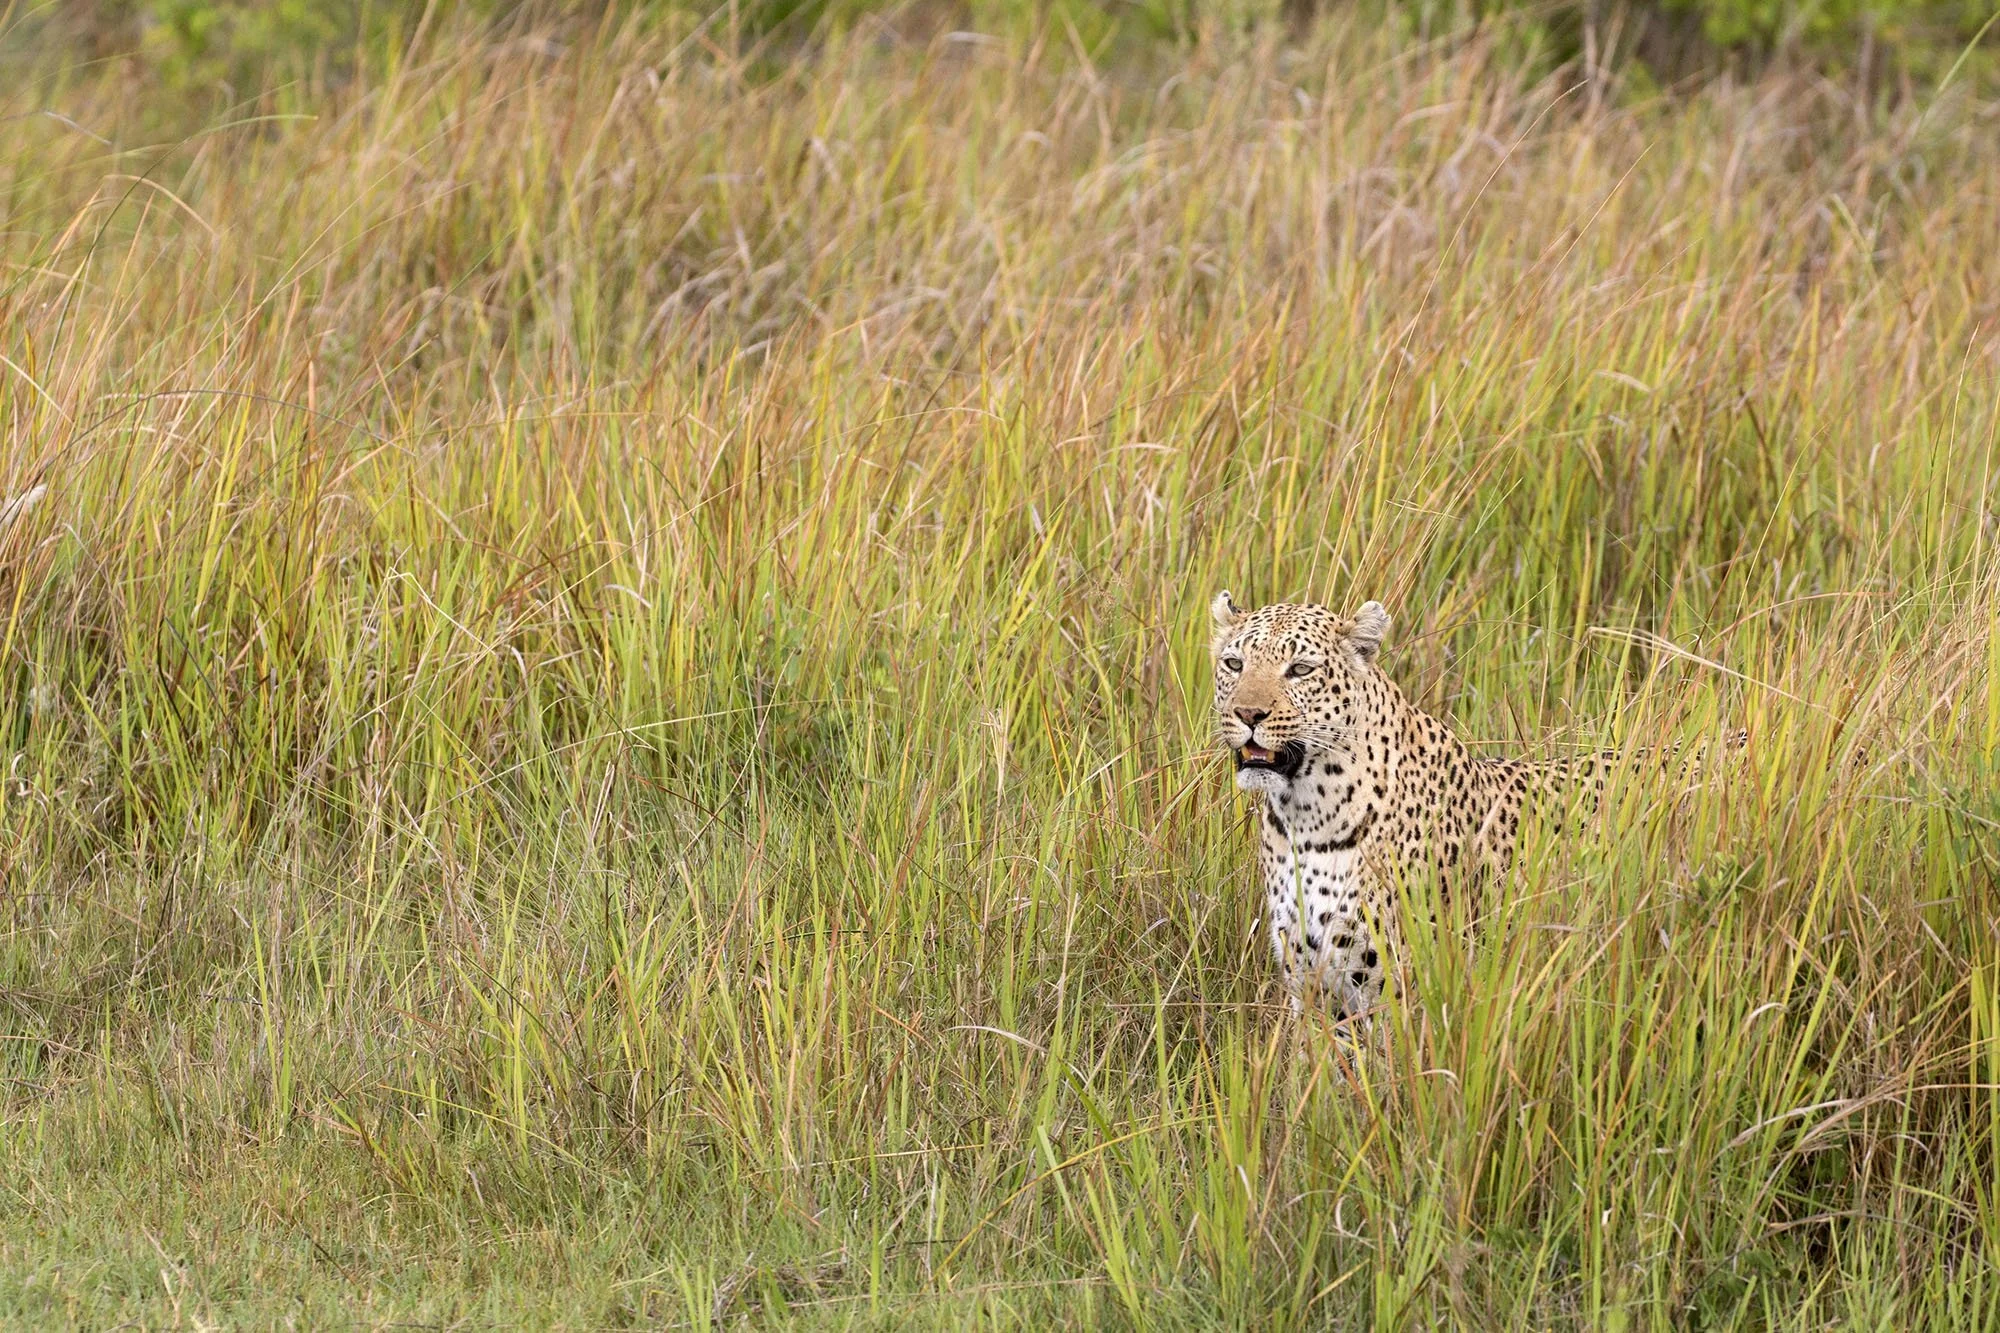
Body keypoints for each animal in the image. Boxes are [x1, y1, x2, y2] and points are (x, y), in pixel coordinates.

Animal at [1210, 591, 1730, 1019]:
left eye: (1301, 670)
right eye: (1234, 664)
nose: (1247, 713)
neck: (1305, 816)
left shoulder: (1398, 990)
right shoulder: (1314, 987)